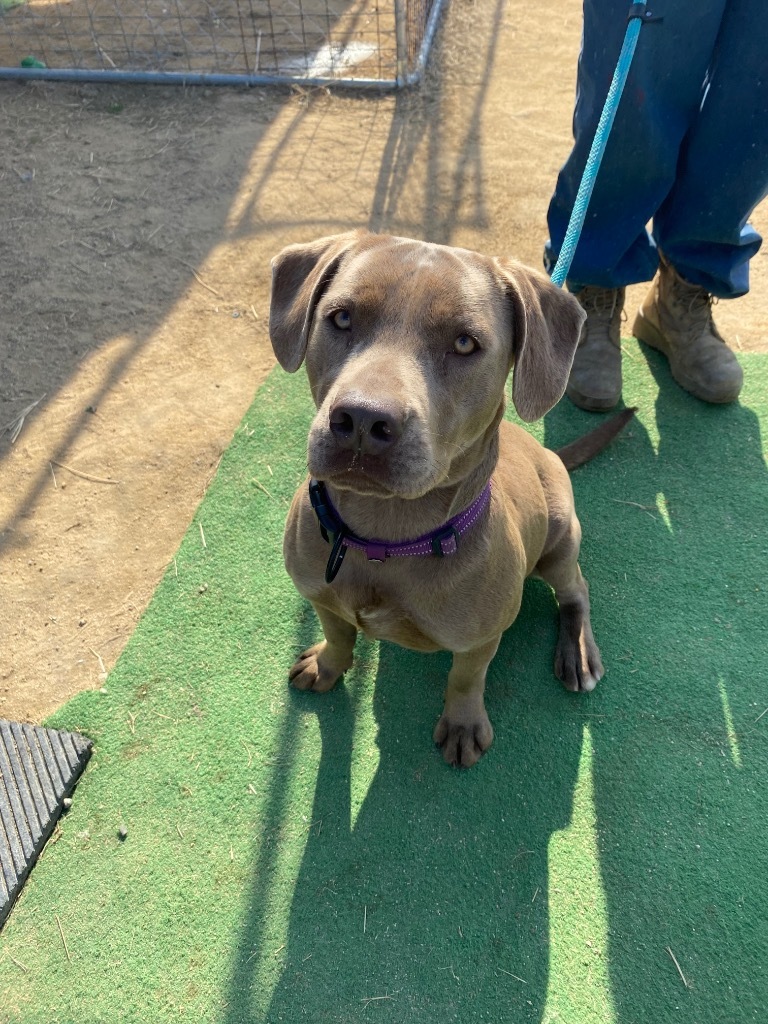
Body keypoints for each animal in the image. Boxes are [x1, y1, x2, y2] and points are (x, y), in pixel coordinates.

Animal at [268, 230, 630, 761]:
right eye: (342, 317)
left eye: (464, 343)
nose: (362, 420)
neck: (384, 540)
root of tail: (548, 453)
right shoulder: (321, 597)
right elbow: (337, 635)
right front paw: (328, 666)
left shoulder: (480, 639)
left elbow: (465, 678)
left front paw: (462, 724)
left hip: (560, 542)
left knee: (576, 589)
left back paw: (577, 651)